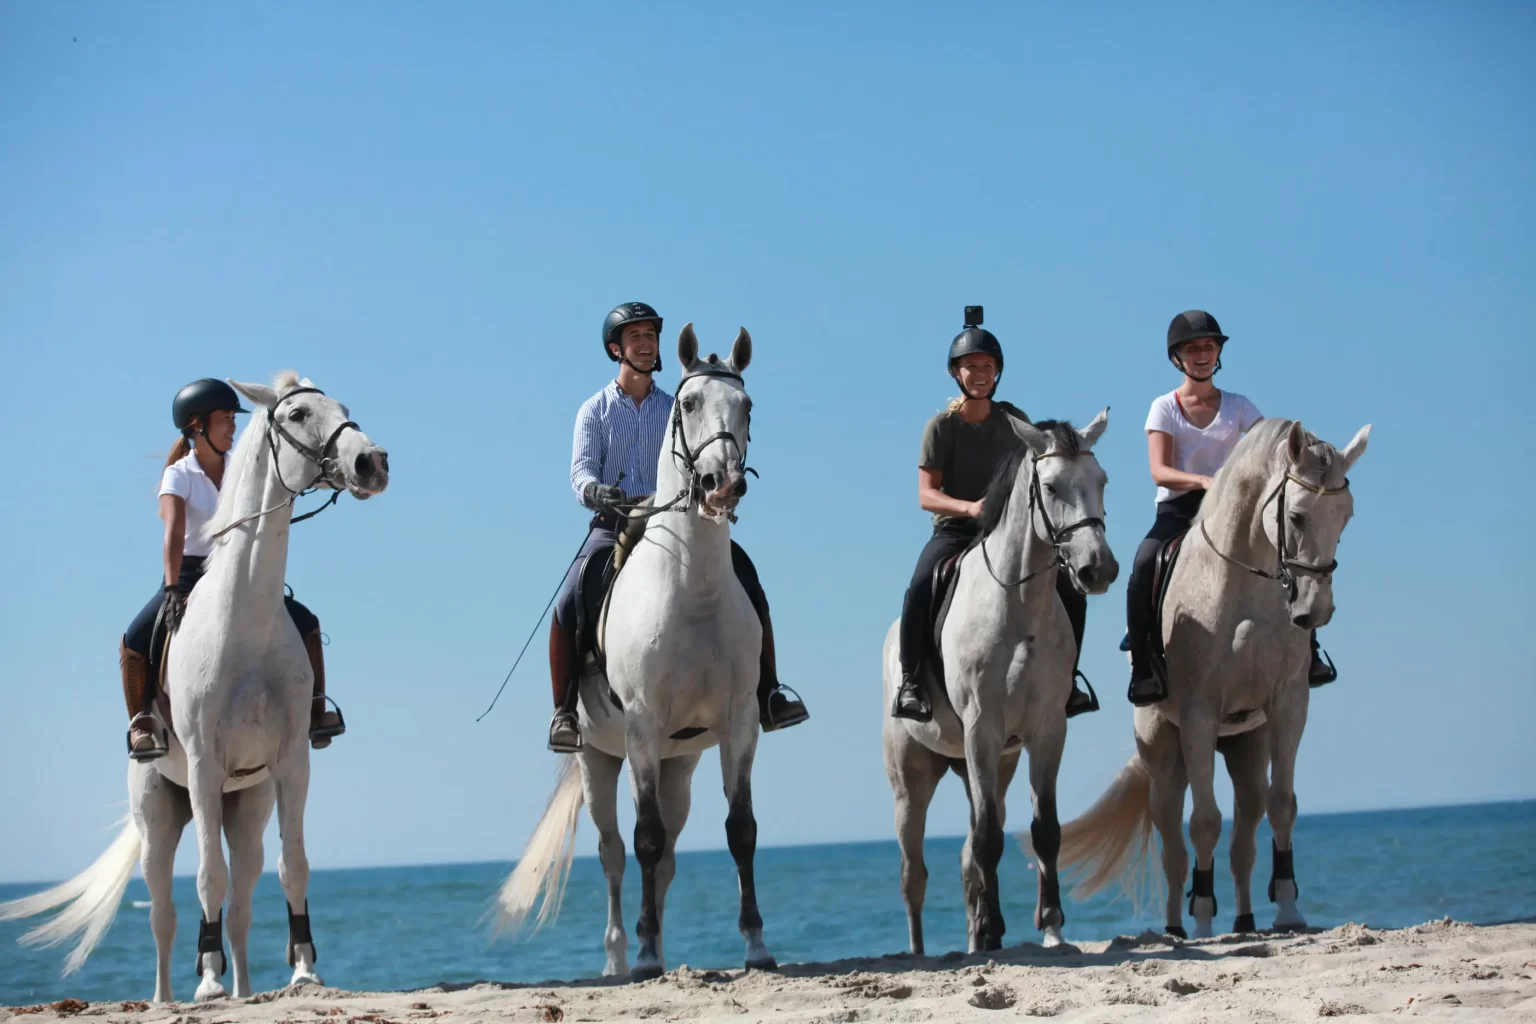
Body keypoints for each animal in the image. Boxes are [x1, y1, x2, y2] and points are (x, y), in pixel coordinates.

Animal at [0, 373, 390, 1001]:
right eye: (298, 414)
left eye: (343, 407)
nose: (371, 462)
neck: (245, 621)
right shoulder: (206, 767)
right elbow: (208, 877)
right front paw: (207, 983)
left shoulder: (292, 764)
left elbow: (294, 868)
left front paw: (304, 972)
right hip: (158, 818)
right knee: (164, 912)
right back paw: (167, 997)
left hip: (245, 808)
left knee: (243, 903)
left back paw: (246, 990)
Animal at [497, 324, 775, 981]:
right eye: (689, 403)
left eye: (747, 405)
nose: (723, 485)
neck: (692, 590)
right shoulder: (642, 731)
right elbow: (643, 839)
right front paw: (646, 956)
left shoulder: (740, 724)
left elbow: (740, 830)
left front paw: (756, 945)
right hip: (598, 761)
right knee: (616, 853)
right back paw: (622, 957)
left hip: (681, 763)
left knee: (667, 854)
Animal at [882, 413, 1118, 954]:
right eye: (1050, 487)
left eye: (1101, 482)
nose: (1098, 569)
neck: (1018, 605)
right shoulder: (981, 730)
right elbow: (989, 838)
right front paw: (994, 929)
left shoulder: (1046, 731)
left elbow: (1044, 830)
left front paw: (1051, 927)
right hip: (912, 780)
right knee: (912, 874)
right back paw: (923, 952)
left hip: (989, 764)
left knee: (968, 858)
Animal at [1053, 418, 1370, 938]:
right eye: (1297, 517)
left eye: (1346, 517)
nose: (1314, 610)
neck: (1245, 585)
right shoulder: (1200, 714)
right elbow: (1203, 822)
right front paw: (1203, 919)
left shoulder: (1288, 705)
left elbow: (1283, 805)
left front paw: (1289, 911)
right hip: (1165, 758)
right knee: (1172, 845)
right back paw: (1179, 929)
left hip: (1246, 748)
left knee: (1246, 834)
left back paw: (1244, 921)